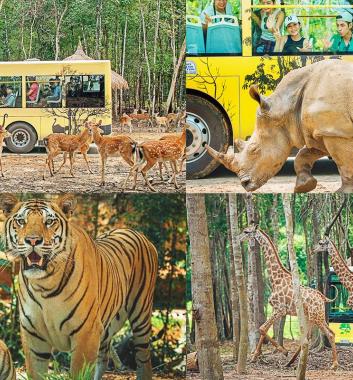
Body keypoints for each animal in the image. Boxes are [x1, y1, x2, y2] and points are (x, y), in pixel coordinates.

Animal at [0, 194, 157, 380]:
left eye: (49, 222)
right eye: (21, 221)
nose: (32, 240)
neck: (44, 284)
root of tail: (134, 231)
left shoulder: (86, 333)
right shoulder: (33, 336)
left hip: (141, 316)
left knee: (144, 358)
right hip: (105, 326)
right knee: (103, 358)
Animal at [239, 224, 338, 370]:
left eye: (246, 231)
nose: (238, 238)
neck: (275, 280)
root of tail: (323, 298)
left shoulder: (281, 310)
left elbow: (262, 328)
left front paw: (283, 351)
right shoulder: (276, 309)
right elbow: (263, 329)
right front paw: (255, 356)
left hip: (317, 316)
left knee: (329, 334)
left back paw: (334, 364)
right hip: (314, 316)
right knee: (315, 335)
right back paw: (292, 362)